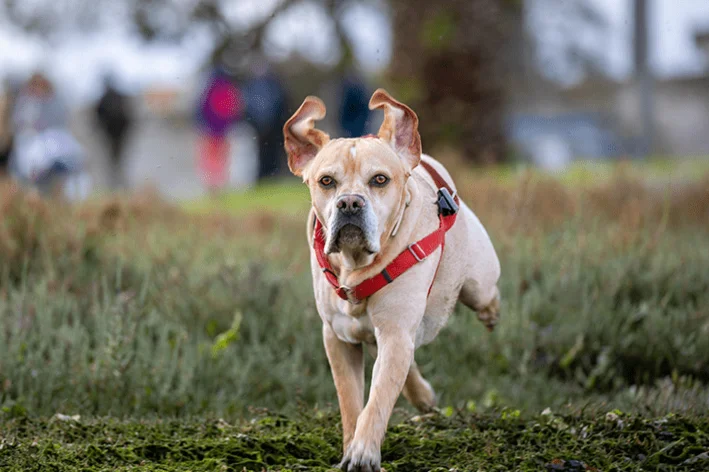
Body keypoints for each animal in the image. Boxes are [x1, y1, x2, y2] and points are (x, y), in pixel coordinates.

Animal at [280, 89, 498, 472]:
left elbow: (379, 398)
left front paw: (364, 453)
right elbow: (352, 402)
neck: (357, 266)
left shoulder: (395, 332)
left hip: (478, 283)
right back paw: (422, 395)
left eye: (380, 180)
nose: (350, 203)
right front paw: (351, 446)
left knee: (486, 296)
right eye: (326, 181)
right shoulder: (339, 339)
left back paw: (490, 315)